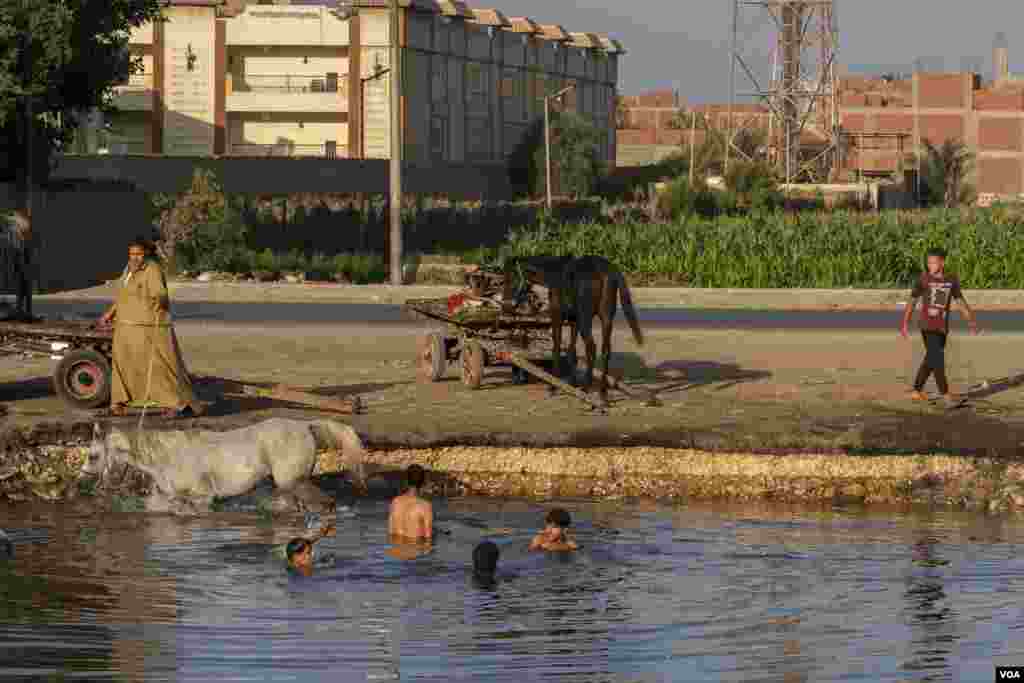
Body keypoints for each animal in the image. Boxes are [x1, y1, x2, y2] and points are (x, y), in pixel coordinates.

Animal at [502, 255, 644, 404]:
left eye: (511, 278)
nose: (507, 306)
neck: (555, 272)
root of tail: (605, 269)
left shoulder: (557, 317)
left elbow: (556, 348)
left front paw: (553, 386)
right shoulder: (573, 321)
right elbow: (572, 350)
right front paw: (572, 383)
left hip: (585, 319)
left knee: (591, 348)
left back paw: (586, 390)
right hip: (606, 318)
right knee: (605, 350)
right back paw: (602, 394)